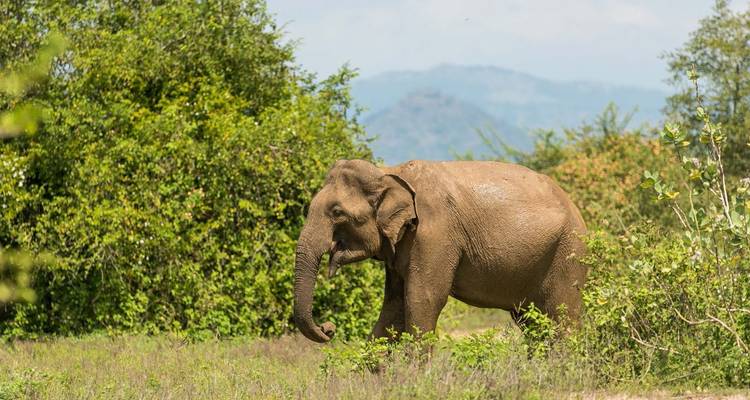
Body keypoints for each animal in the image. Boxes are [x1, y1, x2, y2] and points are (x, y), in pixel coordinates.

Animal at [293, 159, 588, 343]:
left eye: (337, 213)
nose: (328, 329)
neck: (388, 172)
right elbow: (393, 305)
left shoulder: (433, 234)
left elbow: (422, 299)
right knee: (531, 321)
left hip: (568, 253)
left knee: (562, 316)